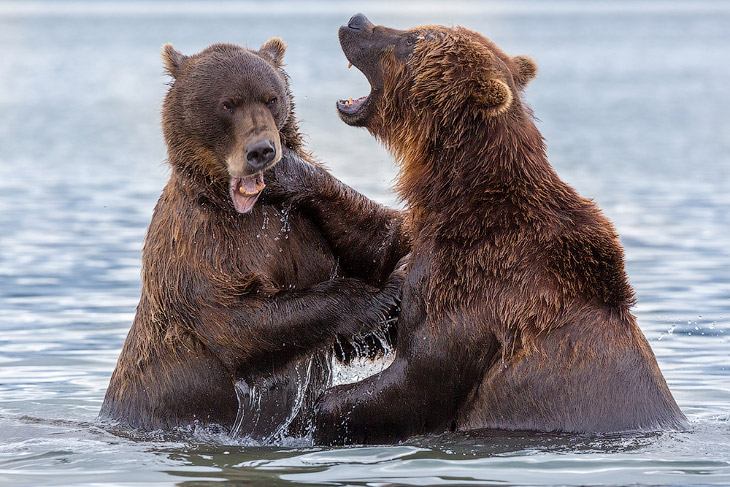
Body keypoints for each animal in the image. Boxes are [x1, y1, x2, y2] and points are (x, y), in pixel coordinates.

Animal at [98, 38, 410, 438]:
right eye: (227, 103)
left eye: (271, 98)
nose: (261, 150)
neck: (242, 207)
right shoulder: (196, 244)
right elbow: (239, 320)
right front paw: (384, 292)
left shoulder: (301, 229)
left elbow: (380, 243)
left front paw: (290, 172)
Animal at [292, 15, 684, 444]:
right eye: (416, 29)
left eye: (413, 40)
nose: (356, 22)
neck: (457, 195)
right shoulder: (427, 246)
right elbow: (381, 264)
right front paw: (293, 172)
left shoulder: (477, 289)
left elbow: (418, 381)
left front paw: (309, 413)